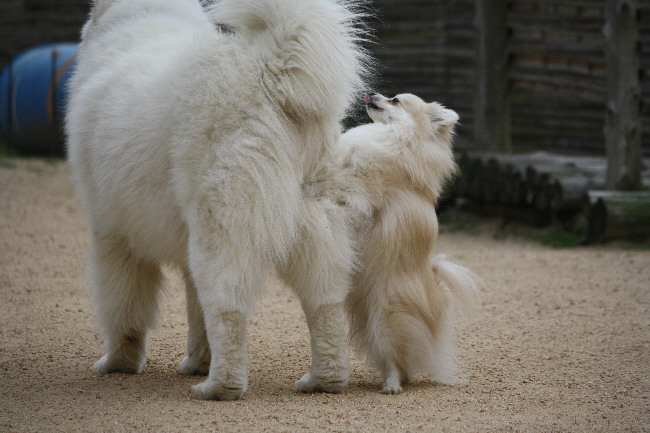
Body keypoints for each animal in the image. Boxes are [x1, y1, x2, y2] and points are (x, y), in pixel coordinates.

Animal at [66, 0, 369, 400]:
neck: (144, 20)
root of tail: (270, 67)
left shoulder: (114, 239)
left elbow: (124, 309)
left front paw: (118, 364)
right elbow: (196, 313)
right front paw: (196, 362)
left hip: (222, 227)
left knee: (228, 310)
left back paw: (218, 387)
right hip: (315, 229)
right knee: (325, 304)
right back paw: (322, 380)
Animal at [311, 93, 483, 394]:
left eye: (396, 100)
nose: (372, 95)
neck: (398, 138)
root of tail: (436, 297)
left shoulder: (360, 182)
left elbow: (339, 174)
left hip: (387, 318)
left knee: (396, 359)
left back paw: (391, 386)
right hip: (369, 322)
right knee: (401, 363)